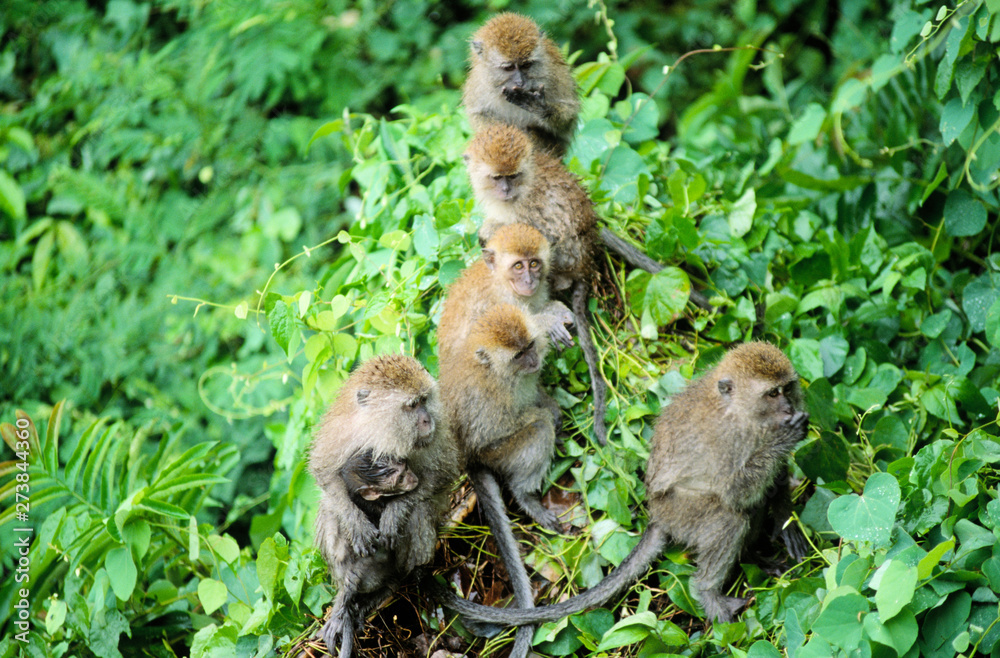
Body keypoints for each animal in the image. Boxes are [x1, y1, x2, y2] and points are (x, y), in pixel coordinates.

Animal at [308, 354, 460, 656]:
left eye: (425, 400)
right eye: (412, 405)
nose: (427, 420)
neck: (378, 429)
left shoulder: (436, 437)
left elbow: (440, 475)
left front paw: (393, 513)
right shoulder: (342, 430)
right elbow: (325, 473)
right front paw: (356, 523)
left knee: (420, 512)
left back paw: (396, 581)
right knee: (330, 510)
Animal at [434, 344, 808, 624]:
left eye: (787, 388)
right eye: (772, 393)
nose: (788, 406)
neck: (741, 413)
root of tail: (656, 514)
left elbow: (770, 480)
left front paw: (786, 519)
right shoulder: (727, 442)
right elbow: (735, 490)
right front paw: (785, 438)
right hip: (681, 512)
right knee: (728, 518)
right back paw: (708, 593)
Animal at [464, 13, 584, 157]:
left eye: (526, 65)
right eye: (509, 67)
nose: (520, 82)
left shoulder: (554, 76)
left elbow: (568, 117)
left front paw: (540, 108)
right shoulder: (479, 83)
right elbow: (480, 114)